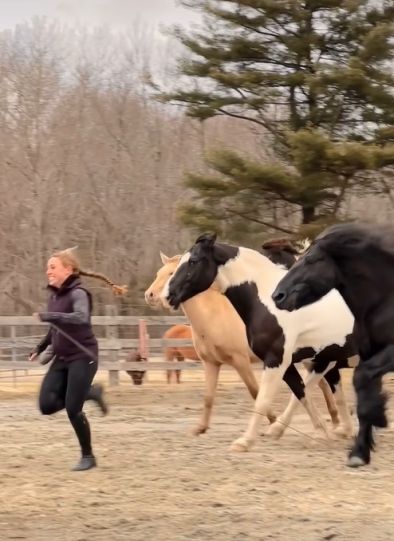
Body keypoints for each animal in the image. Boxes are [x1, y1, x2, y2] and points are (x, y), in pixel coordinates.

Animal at [162, 232, 358, 452]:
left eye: (193, 261)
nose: (166, 296)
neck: (268, 304)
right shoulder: (294, 362)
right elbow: (302, 392)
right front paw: (321, 433)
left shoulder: (278, 360)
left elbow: (264, 398)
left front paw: (245, 441)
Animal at [272, 221, 394, 466]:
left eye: (311, 259)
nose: (278, 296)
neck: (385, 301)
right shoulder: (369, 354)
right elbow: (366, 394)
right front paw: (360, 451)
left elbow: (362, 382)